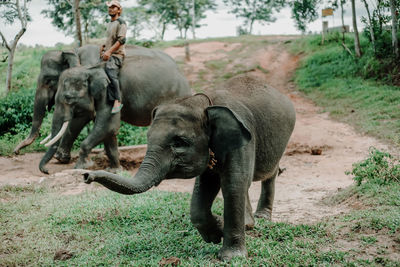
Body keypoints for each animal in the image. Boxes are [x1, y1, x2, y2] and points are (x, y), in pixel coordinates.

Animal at [39, 46, 191, 175]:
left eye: (68, 98)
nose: (47, 171)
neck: (89, 69)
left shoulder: (110, 92)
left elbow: (104, 124)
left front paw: (81, 167)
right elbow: (109, 130)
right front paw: (114, 170)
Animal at [84, 75, 296, 262]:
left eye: (179, 142)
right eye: (148, 138)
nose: (87, 175)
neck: (202, 104)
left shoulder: (242, 140)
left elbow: (233, 184)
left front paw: (231, 257)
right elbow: (205, 187)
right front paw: (217, 231)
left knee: (268, 174)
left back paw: (261, 218)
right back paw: (249, 223)